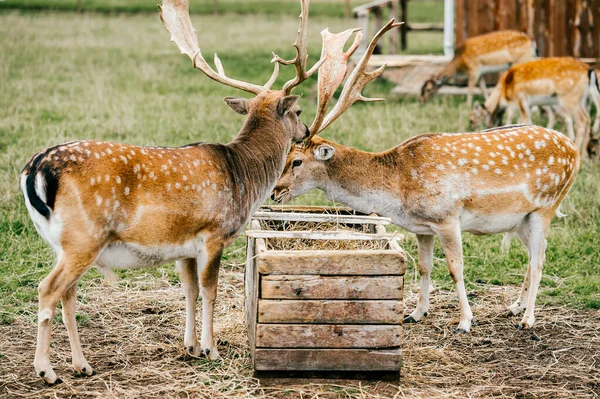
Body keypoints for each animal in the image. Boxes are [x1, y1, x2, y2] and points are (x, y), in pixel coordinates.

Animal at [19, 0, 398, 386]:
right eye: (299, 110)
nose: (306, 129)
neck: (243, 174)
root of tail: (36, 169)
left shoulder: (184, 244)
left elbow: (188, 290)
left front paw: (189, 346)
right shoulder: (215, 233)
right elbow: (209, 291)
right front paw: (210, 349)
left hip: (62, 243)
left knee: (67, 294)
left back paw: (82, 365)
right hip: (85, 236)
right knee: (48, 289)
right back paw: (46, 370)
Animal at [274, 124, 580, 334]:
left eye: (297, 161)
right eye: (284, 156)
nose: (276, 192)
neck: (398, 187)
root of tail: (574, 148)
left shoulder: (447, 218)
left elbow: (456, 270)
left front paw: (465, 322)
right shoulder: (422, 227)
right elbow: (424, 267)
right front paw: (416, 313)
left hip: (546, 206)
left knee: (538, 260)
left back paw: (527, 320)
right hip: (520, 219)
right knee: (537, 253)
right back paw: (515, 307)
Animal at [468, 57, 600, 159]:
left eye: (472, 120)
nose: (472, 129)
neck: (504, 92)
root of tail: (590, 71)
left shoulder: (521, 99)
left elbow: (521, 118)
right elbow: (522, 120)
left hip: (570, 99)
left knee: (582, 120)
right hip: (584, 100)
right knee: (587, 119)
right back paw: (585, 153)